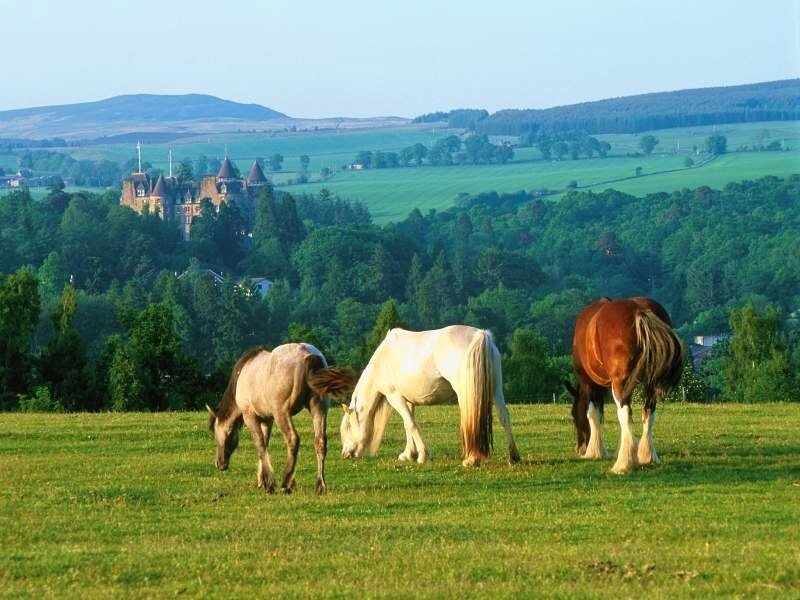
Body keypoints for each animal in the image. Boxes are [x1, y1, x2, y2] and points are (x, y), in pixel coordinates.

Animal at [206, 343, 356, 495]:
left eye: (216, 435)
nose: (219, 464)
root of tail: (309, 356)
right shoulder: (267, 420)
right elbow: (265, 444)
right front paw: (261, 480)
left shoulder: (250, 416)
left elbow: (260, 445)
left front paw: (269, 483)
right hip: (319, 409)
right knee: (320, 441)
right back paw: (320, 485)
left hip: (282, 413)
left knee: (293, 440)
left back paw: (286, 482)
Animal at [340, 325, 521, 467]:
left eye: (348, 427)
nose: (345, 454)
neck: (383, 359)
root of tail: (481, 335)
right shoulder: (408, 400)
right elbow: (408, 424)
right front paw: (408, 454)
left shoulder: (394, 396)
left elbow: (411, 424)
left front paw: (422, 455)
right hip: (496, 390)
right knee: (504, 417)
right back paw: (513, 457)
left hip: (466, 393)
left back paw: (472, 459)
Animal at [565, 296, 684, 474]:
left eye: (573, 415)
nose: (579, 448)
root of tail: (639, 310)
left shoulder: (587, 382)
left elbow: (592, 413)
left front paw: (594, 451)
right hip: (650, 386)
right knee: (649, 413)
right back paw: (647, 456)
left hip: (619, 384)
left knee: (624, 414)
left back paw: (623, 463)